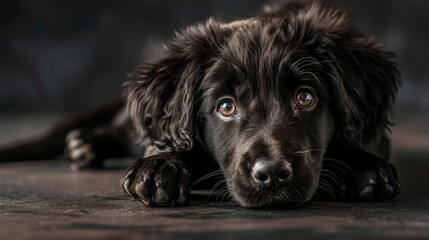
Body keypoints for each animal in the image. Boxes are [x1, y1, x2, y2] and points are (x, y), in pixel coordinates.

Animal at [0, 0, 400, 208]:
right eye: (225, 107)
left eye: (305, 98)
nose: (271, 173)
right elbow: (173, 138)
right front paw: (161, 166)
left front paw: (364, 164)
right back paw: (86, 143)